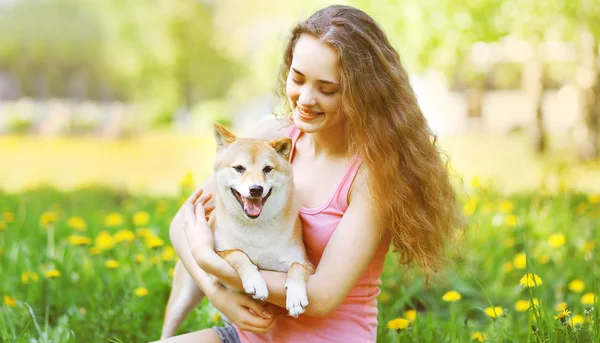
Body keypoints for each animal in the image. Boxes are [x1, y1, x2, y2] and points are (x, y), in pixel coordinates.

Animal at [162, 123, 316, 338]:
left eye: (267, 169)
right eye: (239, 168)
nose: (256, 189)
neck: (255, 229)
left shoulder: (308, 264)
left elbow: (296, 266)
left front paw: (295, 297)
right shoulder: (216, 259)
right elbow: (238, 254)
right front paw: (255, 281)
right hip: (182, 301)